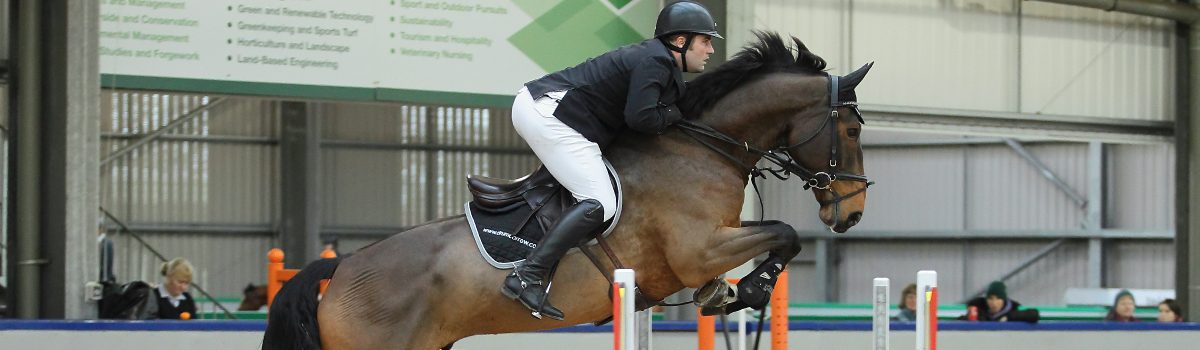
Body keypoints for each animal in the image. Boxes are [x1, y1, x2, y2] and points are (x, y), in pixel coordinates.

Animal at [262, 31, 873, 347]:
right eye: (851, 129)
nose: (853, 212)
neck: (703, 147)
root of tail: (342, 270)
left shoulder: (712, 241)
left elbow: (778, 235)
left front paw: (724, 293)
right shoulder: (698, 248)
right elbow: (784, 232)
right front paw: (748, 290)